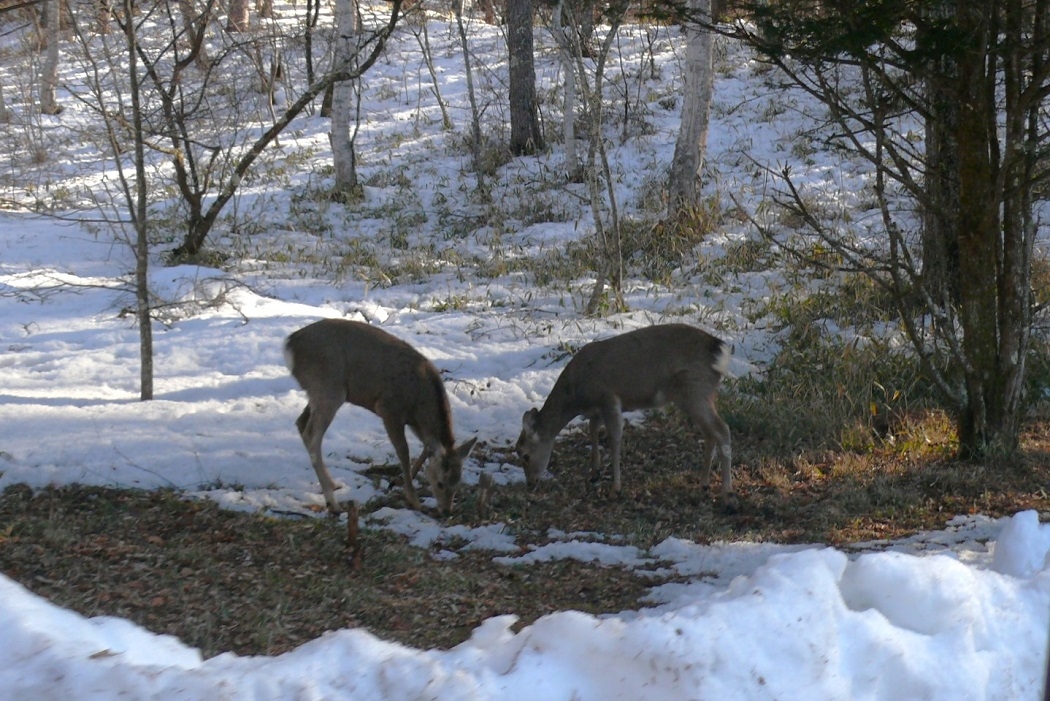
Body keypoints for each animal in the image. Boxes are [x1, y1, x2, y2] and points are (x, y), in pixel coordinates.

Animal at [281, 316, 474, 514]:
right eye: (440, 483)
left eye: (458, 483)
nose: (446, 511)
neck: (419, 402)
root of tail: (290, 345)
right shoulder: (389, 409)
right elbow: (404, 452)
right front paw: (413, 499)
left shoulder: (414, 422)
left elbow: (426, 447)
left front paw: (397, 482)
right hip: (328, 387)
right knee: (312, 434)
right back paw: (333, 503)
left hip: (318, 392)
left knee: (300, 423)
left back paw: (333, 485)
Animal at [514, 325, 730, 495]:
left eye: (525, 455)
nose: (530, 483)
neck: (576, 396)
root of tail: (719, 350)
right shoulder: (596, 409)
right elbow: (593, 429)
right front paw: (595, 472)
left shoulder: (608, 397)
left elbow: (614, 437)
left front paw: (615, 488)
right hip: (698, 396)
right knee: (710, 433)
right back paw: (704, 484)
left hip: (695, 390)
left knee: (722, 430)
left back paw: (727, 492)